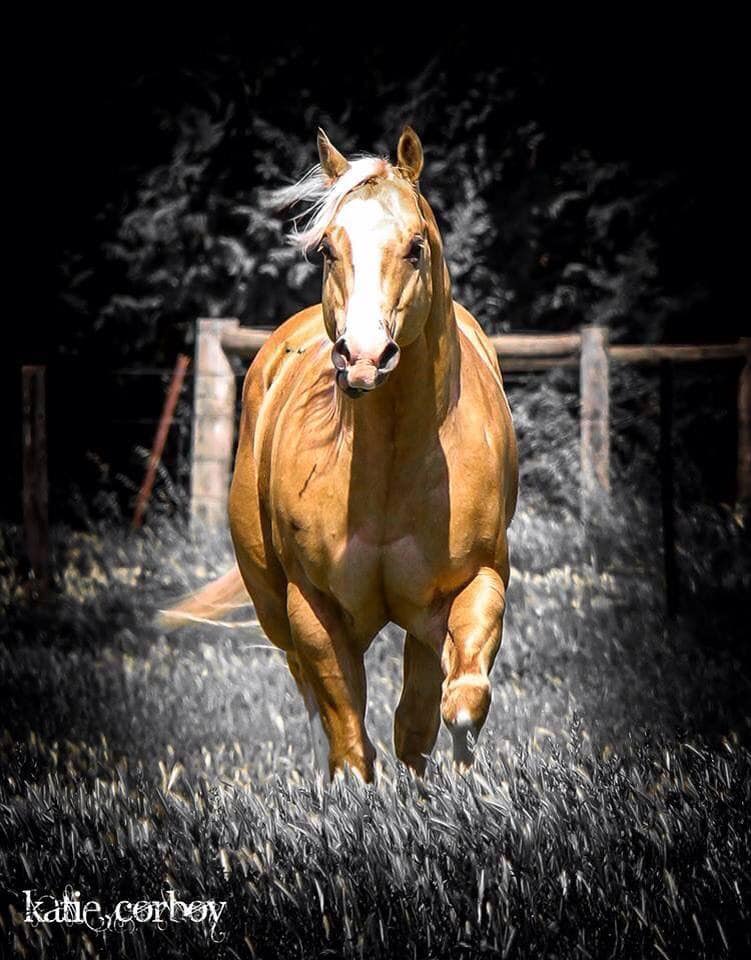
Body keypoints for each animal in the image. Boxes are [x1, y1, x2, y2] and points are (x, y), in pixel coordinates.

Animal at [166, 131, 516, 784]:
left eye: (415, 247)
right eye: (327, 248)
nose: (364, 357)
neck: (391, 470)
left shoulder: (475, 581)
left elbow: (458, 702)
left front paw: (466, 784)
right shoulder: (315, 609)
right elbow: (350, 741)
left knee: (417, 716)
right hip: (272, 602)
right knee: (314, 697)